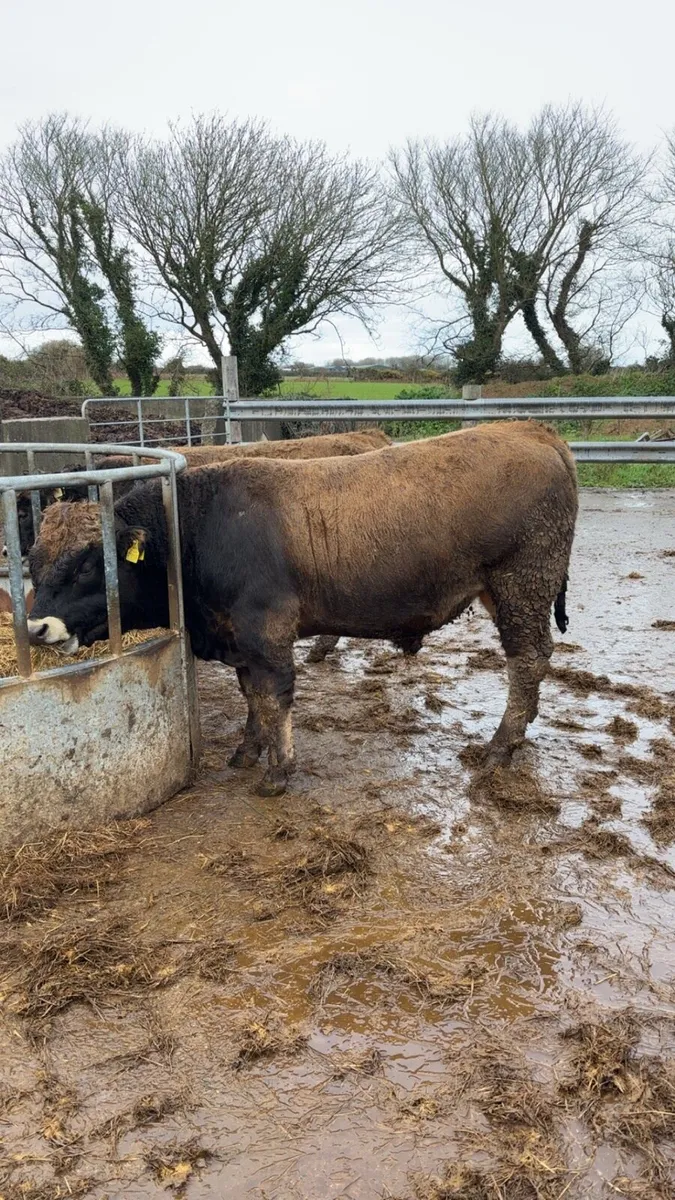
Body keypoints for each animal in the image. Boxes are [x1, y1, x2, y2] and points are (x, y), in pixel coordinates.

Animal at [27, 422, 578, 796]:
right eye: (32, 560)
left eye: (88, 565)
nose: (36, 626)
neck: (197, 528)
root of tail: (529, 428)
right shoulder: (239, 640)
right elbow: (252, 697)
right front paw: (247, 751)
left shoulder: (265, 632)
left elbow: (274, 698)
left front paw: (278, 770)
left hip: (521, 585)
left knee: (528, 660)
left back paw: (500, 746)